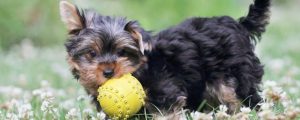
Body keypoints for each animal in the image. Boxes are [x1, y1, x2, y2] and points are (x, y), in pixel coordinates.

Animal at [59, 0, 270, 115]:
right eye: (91, 53)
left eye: (122, 53)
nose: (109, 72)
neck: (139, 71)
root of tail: (239, 24)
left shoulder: (164, 90)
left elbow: (167, 112)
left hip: (234, 74)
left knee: (242, 97)